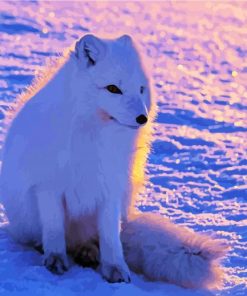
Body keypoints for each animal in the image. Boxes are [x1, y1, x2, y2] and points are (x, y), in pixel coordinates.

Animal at [0, 34, 227, 290]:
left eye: (141, 89)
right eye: (113, 89)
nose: (142, 118)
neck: (93, 136)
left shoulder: (110, 188)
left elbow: (110, 238)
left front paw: (116, 269)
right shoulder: (48, 188)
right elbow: (54, 230)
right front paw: (55, 260)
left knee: (97, 239)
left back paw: (89, 252)